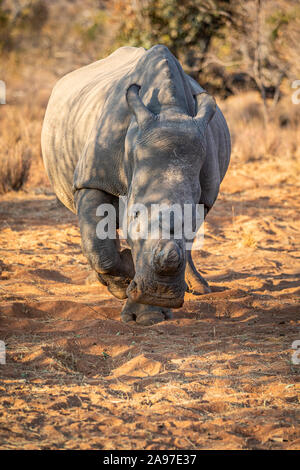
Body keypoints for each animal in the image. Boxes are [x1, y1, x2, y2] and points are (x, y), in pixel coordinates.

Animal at [41, 44, 231, 324]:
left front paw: (149, 314)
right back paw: (97, 281)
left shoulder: (205, 193)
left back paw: (199, 289)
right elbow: (101, 248)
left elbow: (188, 237)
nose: (161, 293)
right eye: (134, 216)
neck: (169, 109)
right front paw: (125, 282)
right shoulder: (92, 179)